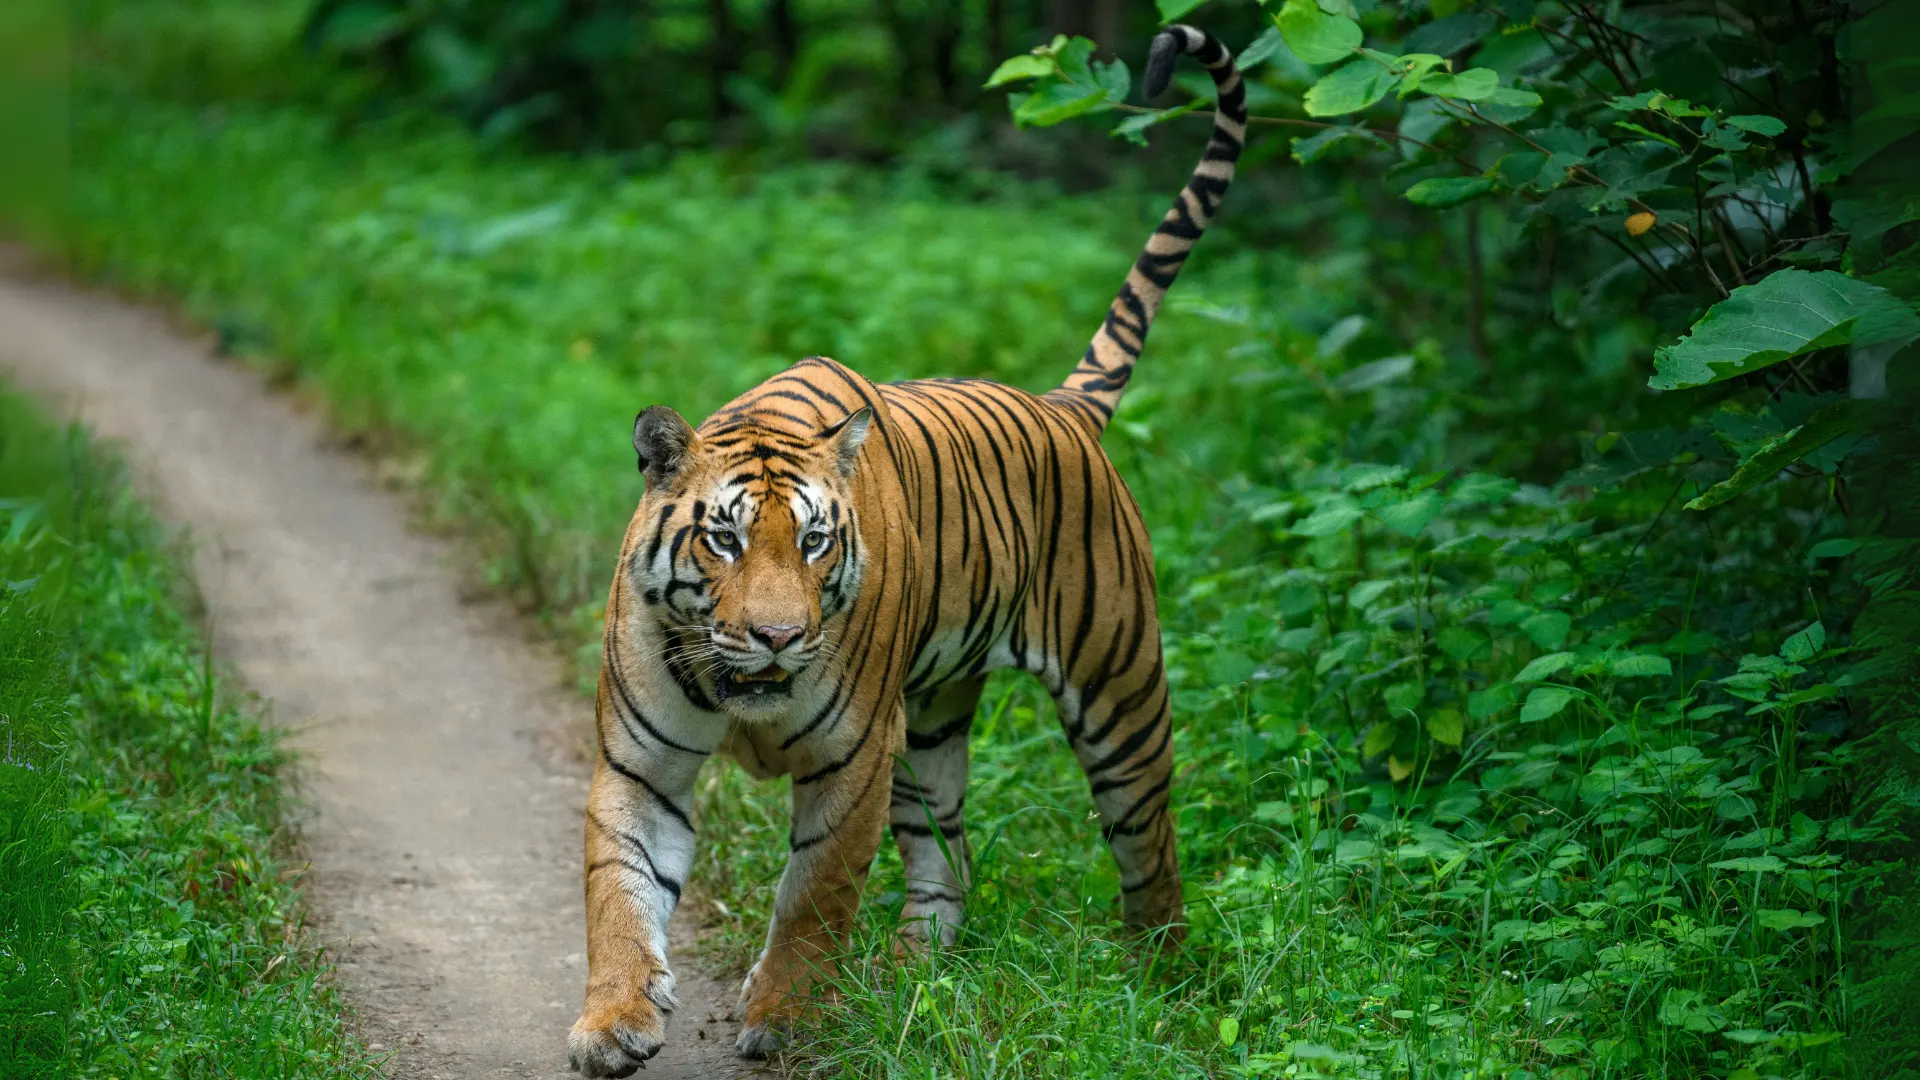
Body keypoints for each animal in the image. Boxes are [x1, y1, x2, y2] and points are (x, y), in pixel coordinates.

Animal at [568, 24, 1247, 1074]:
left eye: (813, 542)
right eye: (723, 539)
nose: (776, 638)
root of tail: (1062, 407)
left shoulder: (853, 761)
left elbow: (814, 896)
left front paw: (787, 1015)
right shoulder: (641, 765)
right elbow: (618, 892)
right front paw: (613, 1023)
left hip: (1120, 696)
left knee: (1152, 851)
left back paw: (1158, 985)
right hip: (931, 727)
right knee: (950, 853)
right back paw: (909, 976)